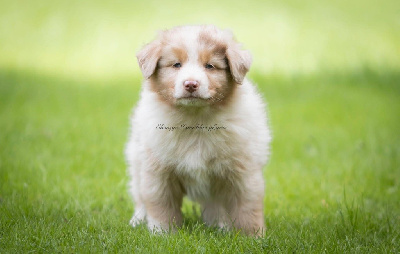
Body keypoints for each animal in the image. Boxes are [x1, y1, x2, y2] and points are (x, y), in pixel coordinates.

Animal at [125, 24, 272, 235]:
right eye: (176, 65)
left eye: (210, 66)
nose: (191, 84)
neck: (195, 121)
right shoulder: (158, 170)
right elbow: (161, 205)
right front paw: (163, 234)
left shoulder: (243, 171)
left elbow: (246, 208)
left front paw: (252, 236)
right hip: (137, 160)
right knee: (139, 197)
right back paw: (137, 221)